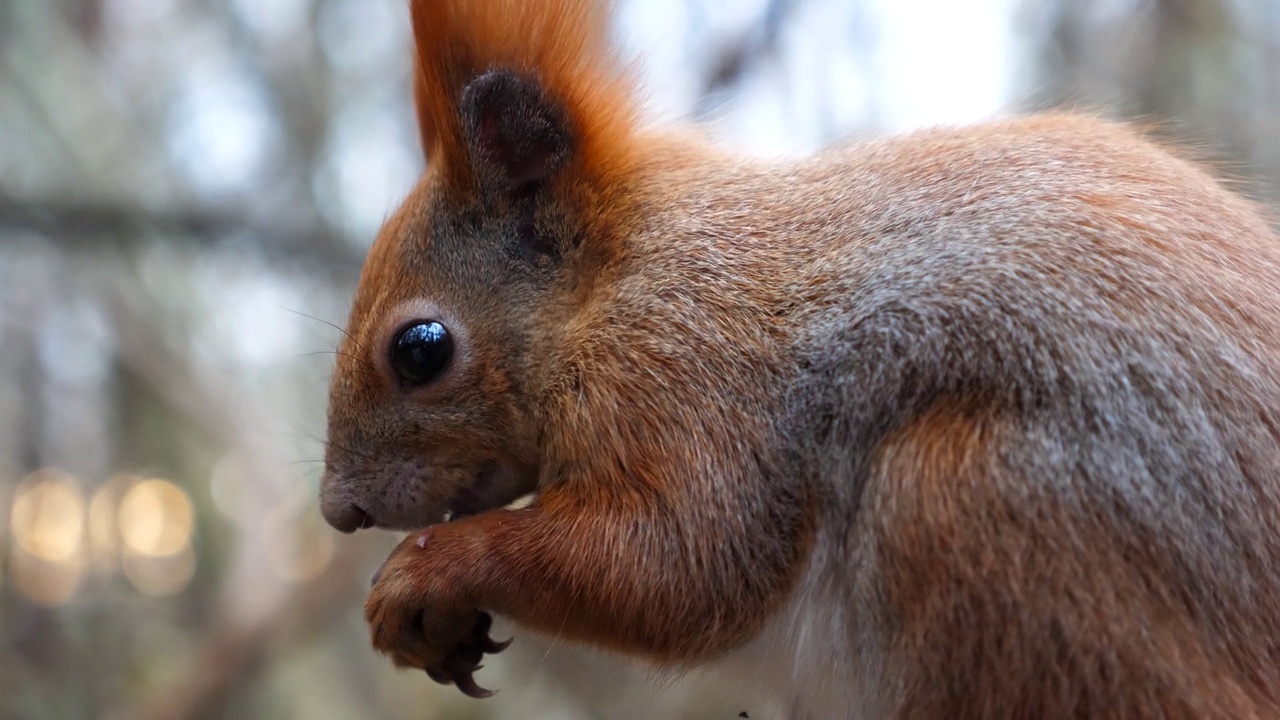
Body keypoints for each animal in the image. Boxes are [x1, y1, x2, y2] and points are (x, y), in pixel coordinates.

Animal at [317, 1, 1280, 712]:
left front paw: (426, 573)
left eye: (420, 350)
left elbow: (683, 564)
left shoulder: (691, 370)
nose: (339, 510)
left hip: (976, 502)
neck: (617, 280)